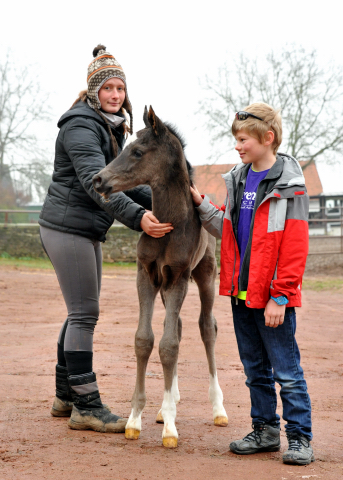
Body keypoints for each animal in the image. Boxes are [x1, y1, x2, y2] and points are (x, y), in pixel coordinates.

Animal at [93, 107, 228, 448]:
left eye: (137, 152)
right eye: (126, 146)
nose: (98, 179)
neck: (169, 224)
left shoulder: (179, 277)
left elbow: (168, 345)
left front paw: (169, 428)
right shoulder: (147, 277)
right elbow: (146, 340)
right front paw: (135, 419)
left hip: (205, 276)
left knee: (207, 328)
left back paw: (218, 409)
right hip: (166, 288)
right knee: (177, 326)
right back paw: (171, 401)